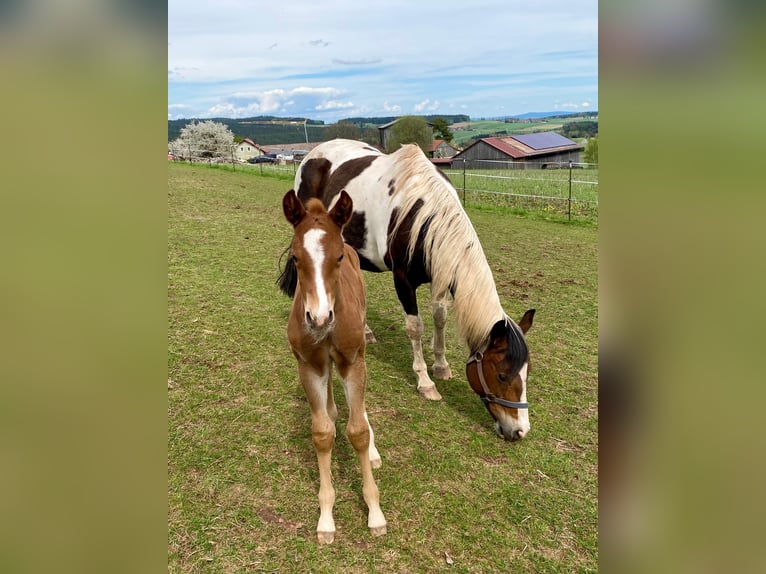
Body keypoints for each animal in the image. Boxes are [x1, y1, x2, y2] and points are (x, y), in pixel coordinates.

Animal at [279, 139, 535, 442]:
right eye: (502, 376)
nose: (519, 430)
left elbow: (440, 319)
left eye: (527, 373)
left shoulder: (440, 276)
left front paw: (441, 366)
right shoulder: (402, 280)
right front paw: (425, 381)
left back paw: (366, 331)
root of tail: (314, 153)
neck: (422, 215)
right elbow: (416, 328)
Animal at [282, 188, 387, 544]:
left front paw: (375, 513)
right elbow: (322, 432)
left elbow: (359, 431)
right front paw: (326, 518)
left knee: (360, 412)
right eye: (295, 258)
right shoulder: (309, 365)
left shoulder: (351, 361)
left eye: (338, 257)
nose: (319, 318)